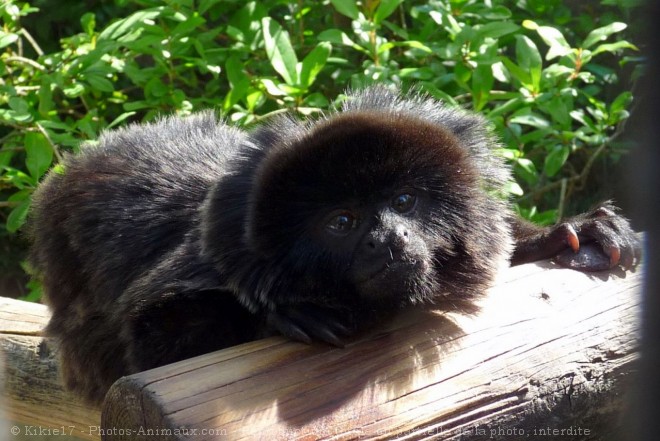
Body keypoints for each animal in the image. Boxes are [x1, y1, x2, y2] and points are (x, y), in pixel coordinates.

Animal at [27, 86, 640, 402]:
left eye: (404, 202)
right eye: (342, 222)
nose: (387, 238)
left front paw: (571, 232)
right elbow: (151, 350)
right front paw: (288, 313)